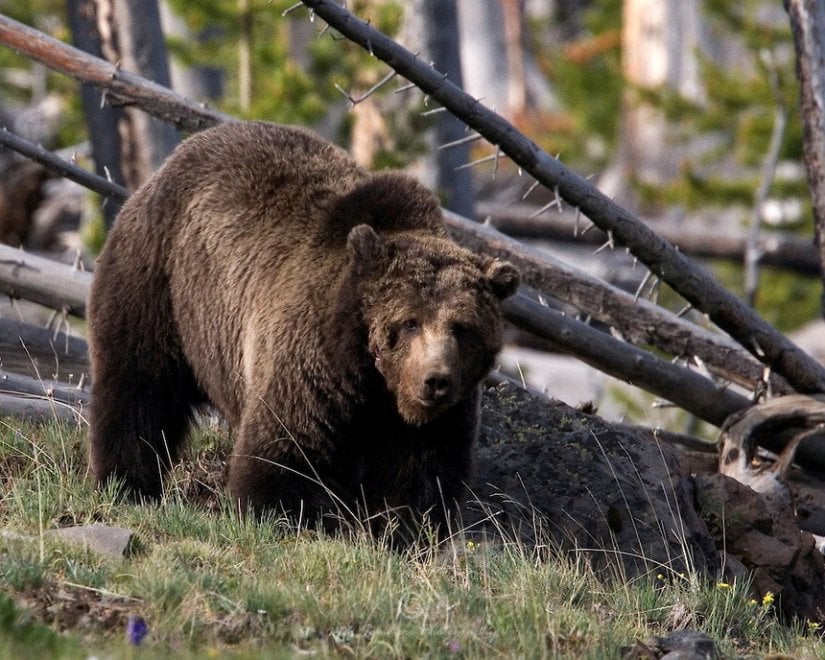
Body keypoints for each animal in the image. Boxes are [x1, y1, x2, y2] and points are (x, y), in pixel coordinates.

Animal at [88, 120, 519, 542]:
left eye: (462, 328)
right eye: (409, 322)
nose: (435, 380)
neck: (372, 379)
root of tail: (184, 150)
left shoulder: (439, 417)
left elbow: (420, 474)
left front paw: (404, 532)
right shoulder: (313, 365)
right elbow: (288, 452)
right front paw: (288, 518)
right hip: (161, 281)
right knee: (139, 386)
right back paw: (126, 483)